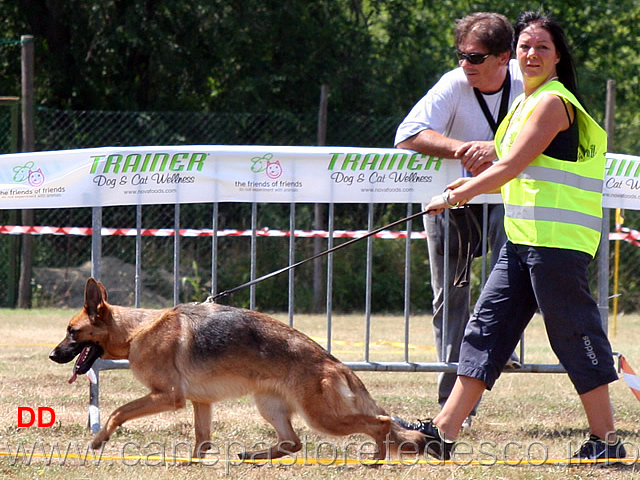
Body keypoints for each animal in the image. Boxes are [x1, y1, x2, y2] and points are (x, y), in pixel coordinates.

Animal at [50, 280, 428, 460]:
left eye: (71, 332)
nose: (53, 355)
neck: (136, 331)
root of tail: (336, 364)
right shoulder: (200, 403)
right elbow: (201, 440)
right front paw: (192, 464)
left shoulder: (167, 396)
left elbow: (117, 411)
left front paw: (99, 439)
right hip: (270, 406)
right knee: (292, 443)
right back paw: (253, 456)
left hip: (322, 417)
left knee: (380, 423)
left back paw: (377, 459)